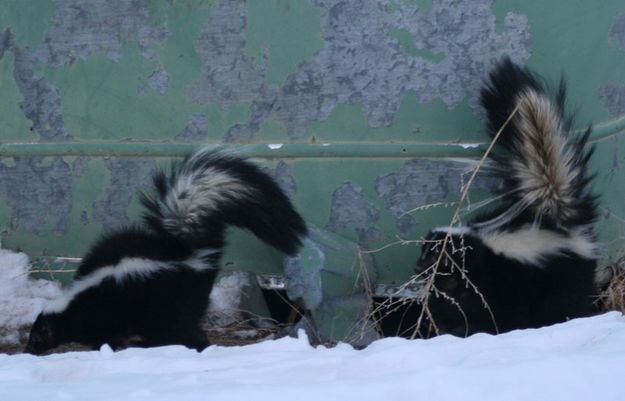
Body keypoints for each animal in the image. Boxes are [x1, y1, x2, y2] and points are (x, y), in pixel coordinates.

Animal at [25, 149, 308, 354]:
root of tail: (190, 252)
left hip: (168, 302)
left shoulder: (105, 310)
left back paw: (173, 344)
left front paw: (110, 346)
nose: (29, 350)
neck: (76, 301)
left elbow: (105, 334)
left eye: (38, 335)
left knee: (179, 328)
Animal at [414, 57, 600, 336]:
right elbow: (451, 307)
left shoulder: (491, 282)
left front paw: (468, 329)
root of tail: (557, 220)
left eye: (436, 255)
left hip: (561, 277)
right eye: (425, 251)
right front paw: (447, 327)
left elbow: (482, 311)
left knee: (564, 302)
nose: (417, 266)